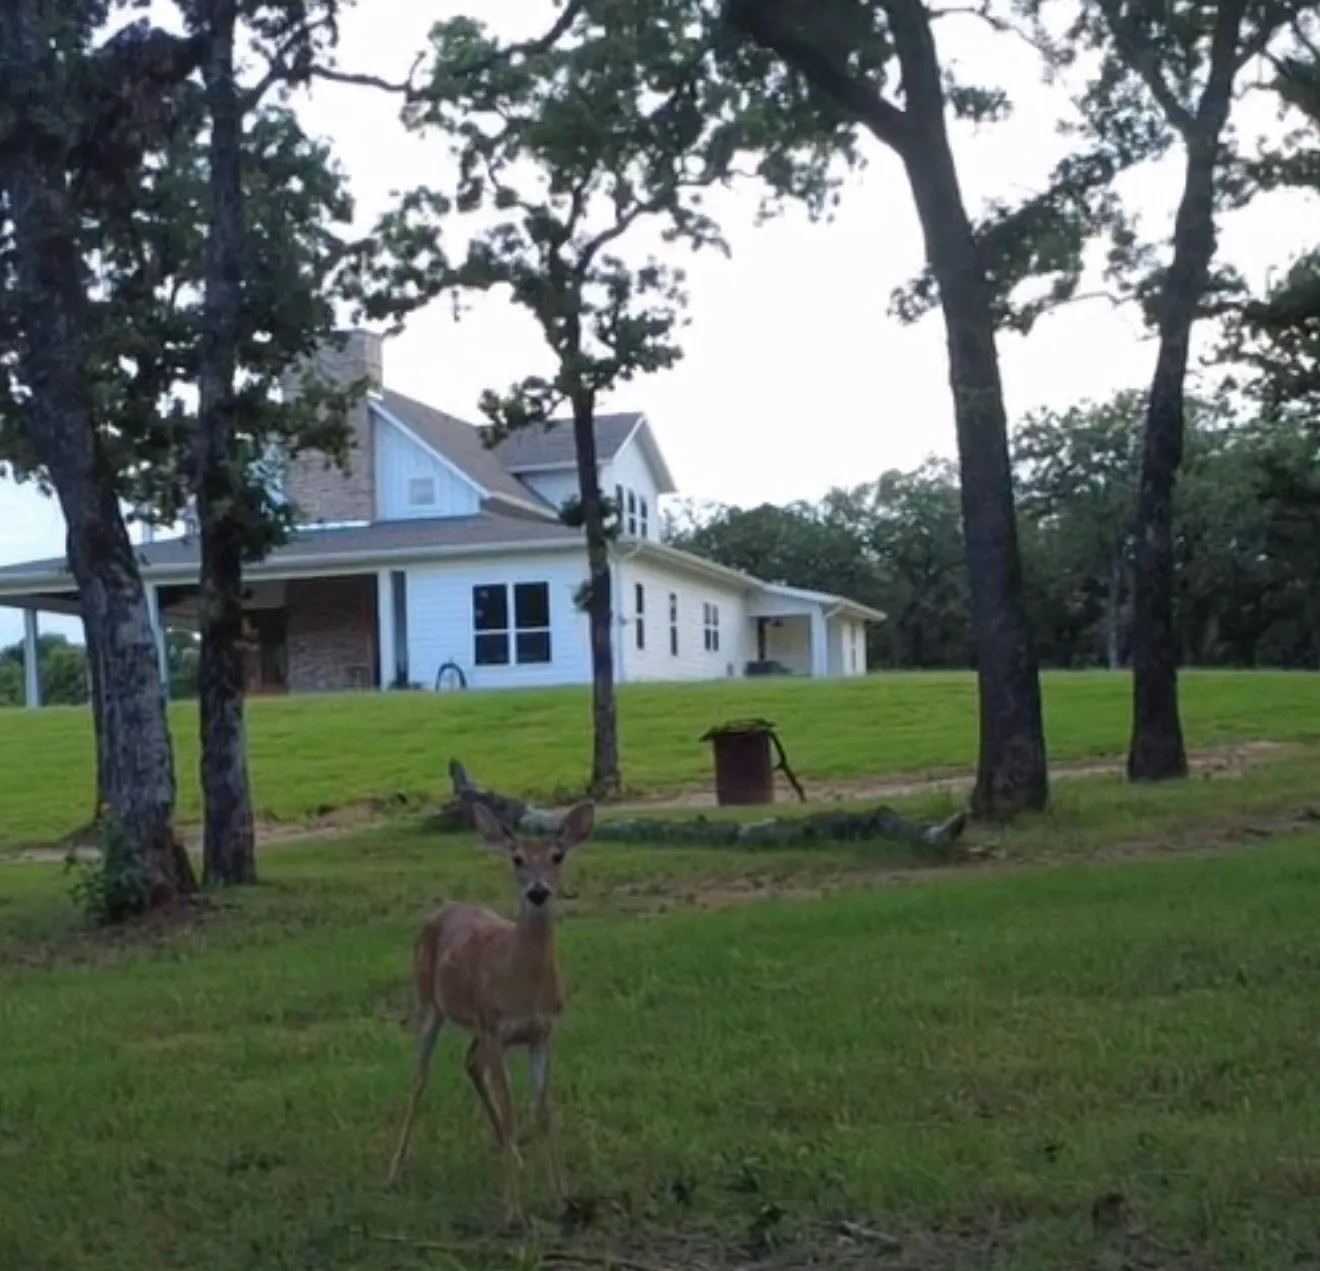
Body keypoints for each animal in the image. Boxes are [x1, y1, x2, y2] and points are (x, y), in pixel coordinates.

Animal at [384, 797, 596, 1225]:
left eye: (557, 855)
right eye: (517, 858)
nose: (538, 891)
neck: (523, 984)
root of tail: (442, 909)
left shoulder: (542, 1034)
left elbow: (543, 1112)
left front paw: (562, 1199)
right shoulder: (498, 1030)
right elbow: (513, 1112)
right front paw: (514, 1213)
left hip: (476, 1025)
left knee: (469, 1062)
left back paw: (510, 1153)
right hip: (430, 1003)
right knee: (419, 1077)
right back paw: (394, 1173)